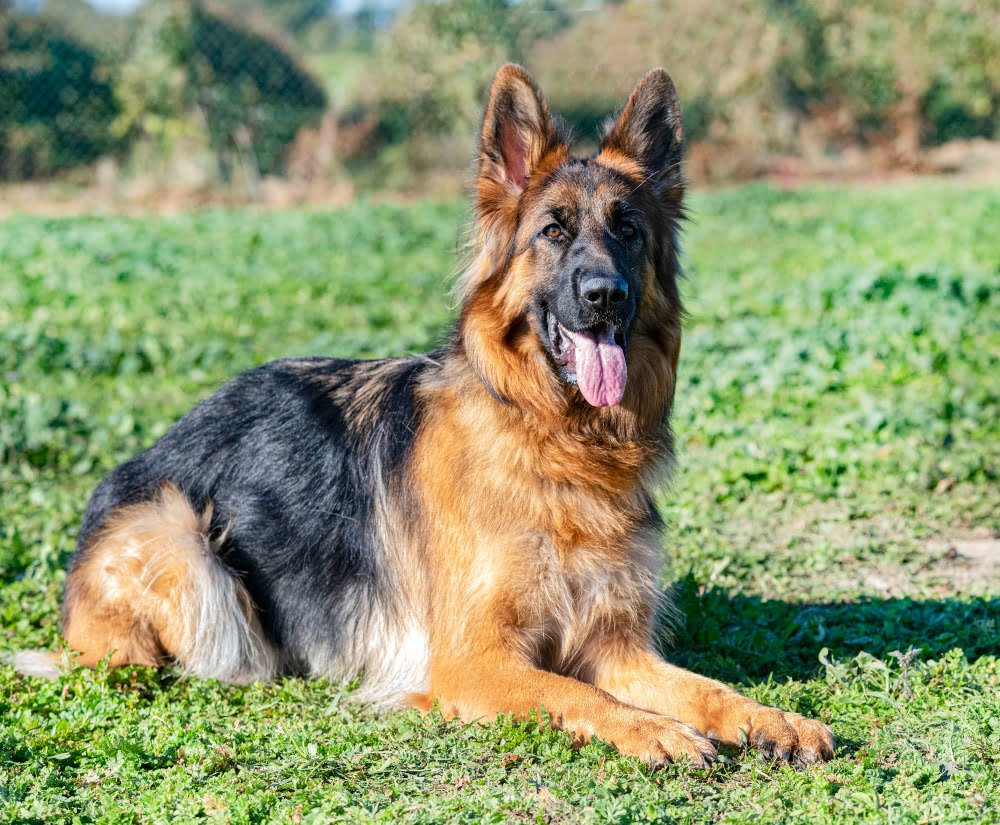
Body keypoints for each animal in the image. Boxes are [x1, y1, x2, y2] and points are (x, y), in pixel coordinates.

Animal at [17, 66, 836, 768]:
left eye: (628, 230)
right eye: (553, 231)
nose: (605, 295)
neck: (551, 440)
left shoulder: (619, 647)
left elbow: (706, 687)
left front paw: (772, 719)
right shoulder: (475, 660)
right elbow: (578, 694)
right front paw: (652, 730)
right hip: (181, 541)